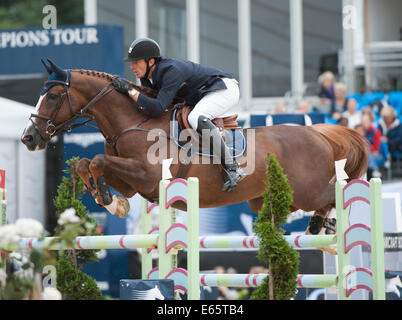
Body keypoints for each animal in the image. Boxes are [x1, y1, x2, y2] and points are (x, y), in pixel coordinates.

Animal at [21, 60, 368, 238]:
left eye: (53, 96)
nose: (28, 138)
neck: (134, 121)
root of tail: (319, 134)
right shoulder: (134, 183)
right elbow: (89, 164)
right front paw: (110, 201)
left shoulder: (147, 175)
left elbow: (96, 160)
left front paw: (108, 200)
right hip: (267, 200)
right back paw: (317, 225)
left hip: (308, 191)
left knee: (334, 193)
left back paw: (327, 224)